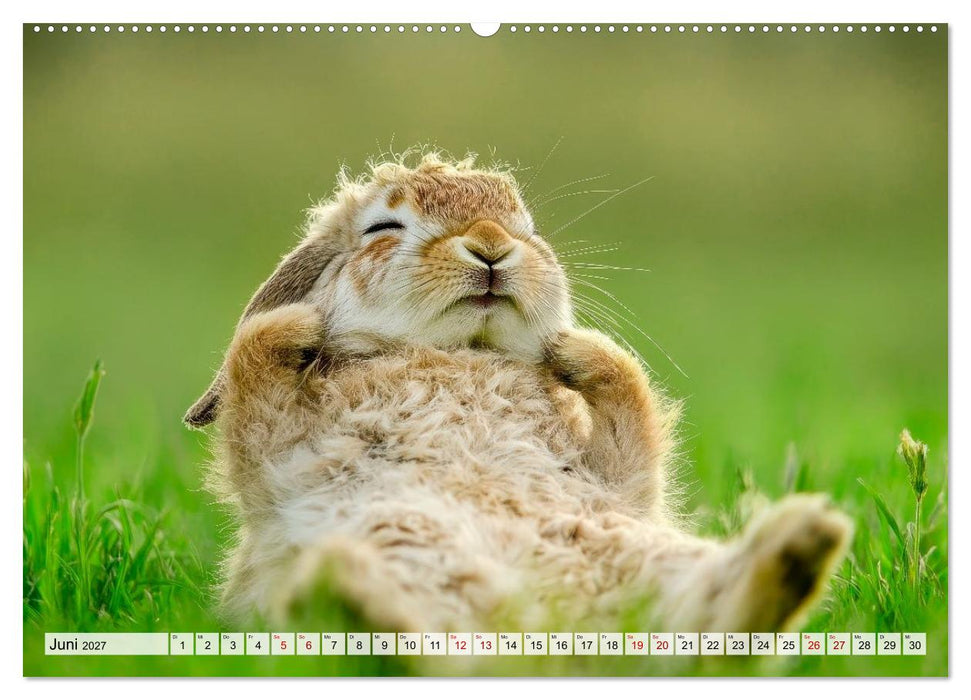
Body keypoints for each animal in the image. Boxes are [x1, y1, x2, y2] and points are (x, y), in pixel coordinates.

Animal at [186, 152, 852, 634]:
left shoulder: (621, 484)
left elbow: (630, 418)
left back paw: (801, 547)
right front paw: (300, 325)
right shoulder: (280, 461)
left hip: (639, 556)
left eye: (525, 228)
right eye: (384, 227)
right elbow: (254, 384)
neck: (460, 355)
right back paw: (346, 591)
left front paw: (574, 348)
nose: (491, 246)